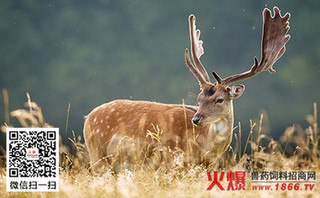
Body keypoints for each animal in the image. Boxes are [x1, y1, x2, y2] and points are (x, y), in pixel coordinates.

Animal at [84, 6, 290, 172]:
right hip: (97, 157)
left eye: (219, 99)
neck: (202, 149)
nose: (196, 119)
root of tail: (88, 118)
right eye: (199, 99)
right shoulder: (168, 162)